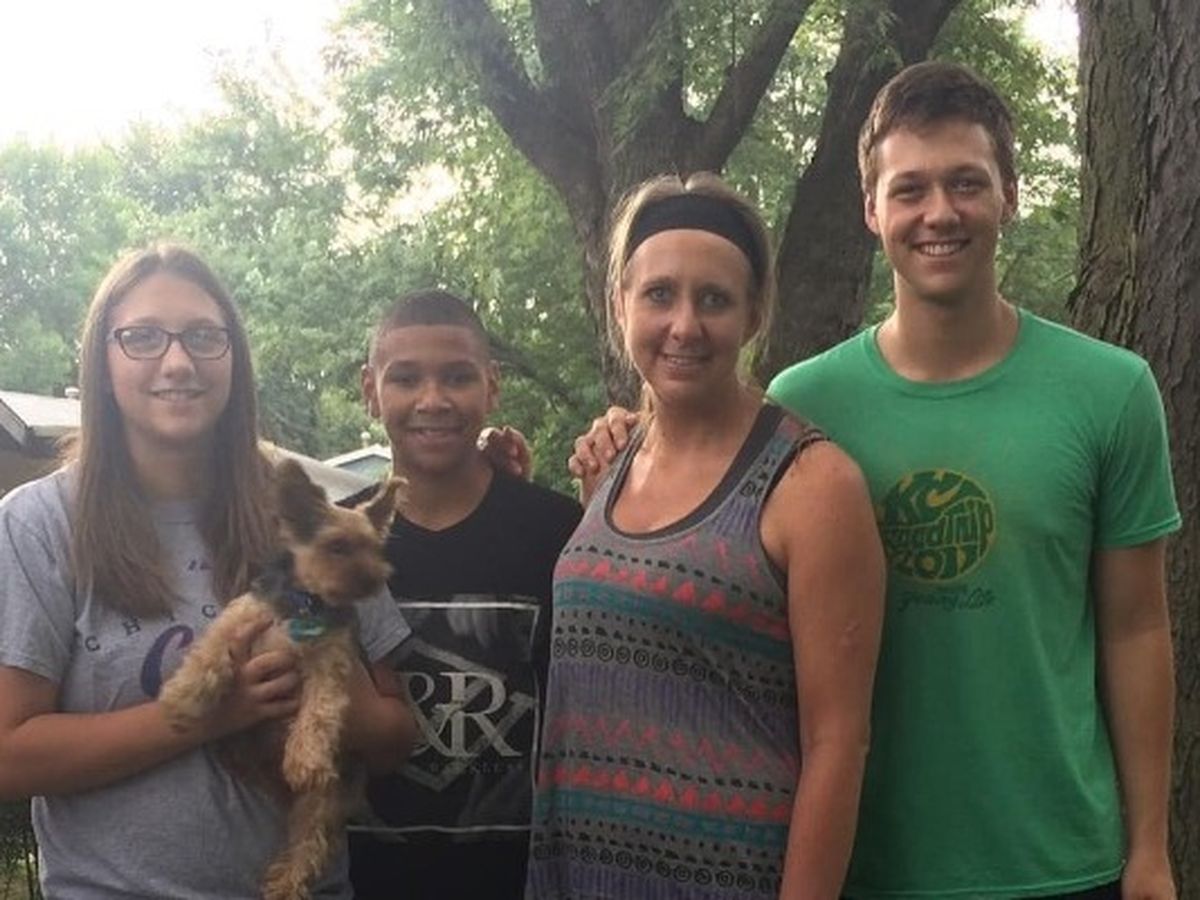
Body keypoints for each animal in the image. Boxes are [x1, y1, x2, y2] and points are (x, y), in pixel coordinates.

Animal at [159, 458, 403, 900]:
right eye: (338, 547)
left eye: (376, 549)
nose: (374, 578)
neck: (308, 604)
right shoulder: (244, 615)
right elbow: (210, 648)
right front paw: (184, 695)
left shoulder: (332, 664)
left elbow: (319, 711)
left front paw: (305, 757)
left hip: (322, 800)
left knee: (310, 844)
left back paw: (285, 883)